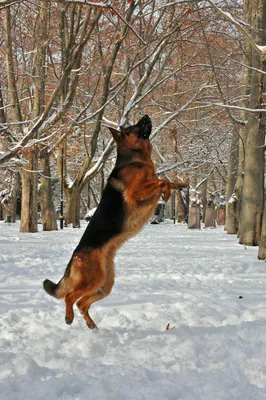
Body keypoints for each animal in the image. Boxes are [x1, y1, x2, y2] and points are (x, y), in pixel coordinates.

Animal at [43, 115, 185, 328]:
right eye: (131, 128)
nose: (146, 116)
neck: (138, 159)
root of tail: (75, 256)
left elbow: (165, 179)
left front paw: (180, 185)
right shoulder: (136, 193)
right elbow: (162, 180)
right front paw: (167, 191)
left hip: (105, 285)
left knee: (82, 303)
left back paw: (92, 325)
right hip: (93, 280)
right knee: (70, 297)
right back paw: (69, 317)